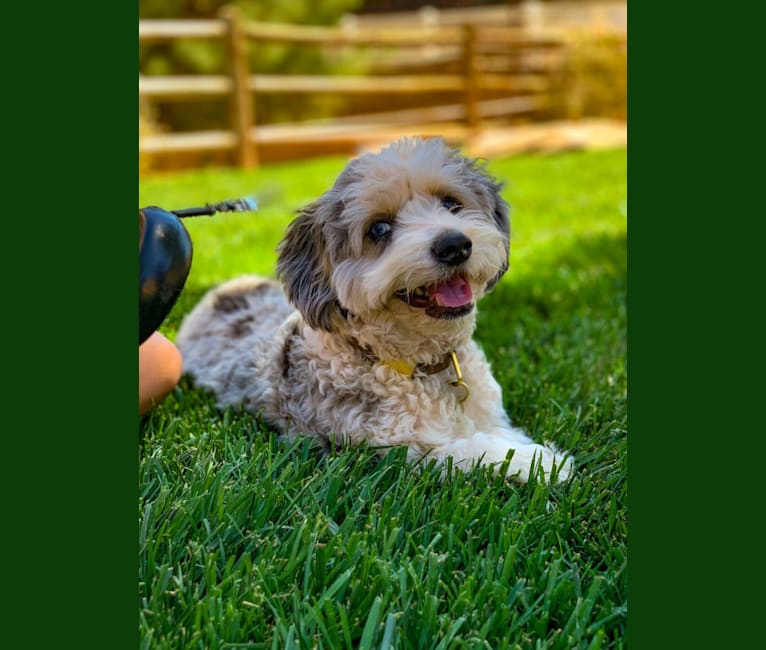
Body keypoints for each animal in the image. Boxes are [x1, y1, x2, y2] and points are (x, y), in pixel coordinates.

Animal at [178, 135, 576, 480]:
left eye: (451, 203)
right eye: (379, 229)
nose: (454, 245)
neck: (423, 368)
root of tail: (222, 292)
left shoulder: (487, 415)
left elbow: (499, 433)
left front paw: (532, 453)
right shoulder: (390, 450)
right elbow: (469, 450)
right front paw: (538, 463)